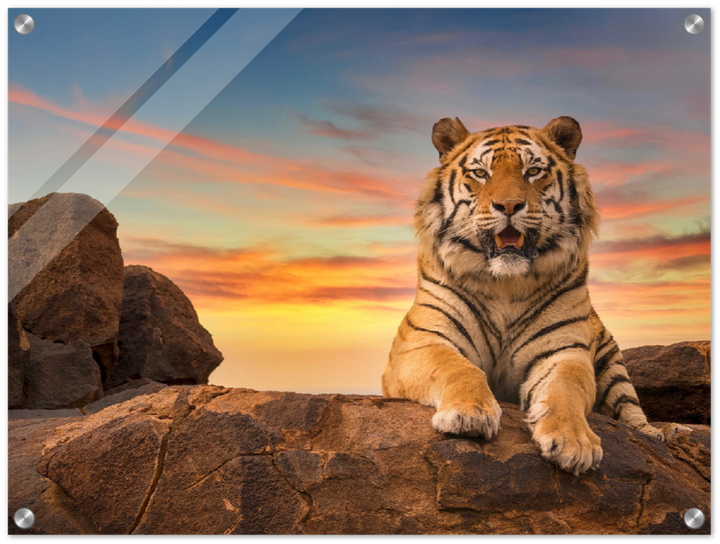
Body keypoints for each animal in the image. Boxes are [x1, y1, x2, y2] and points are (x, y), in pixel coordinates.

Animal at [382, 116, 687, 475]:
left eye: (533, 171)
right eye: (480, 173)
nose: (509, 205)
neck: (504, 285)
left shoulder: (564, 351)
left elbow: (565, 389)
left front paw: (573, 442)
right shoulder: (422, 342)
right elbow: (459, 369)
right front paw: (469, 414)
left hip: (614, 366)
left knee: (633, 415)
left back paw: (665, 432)